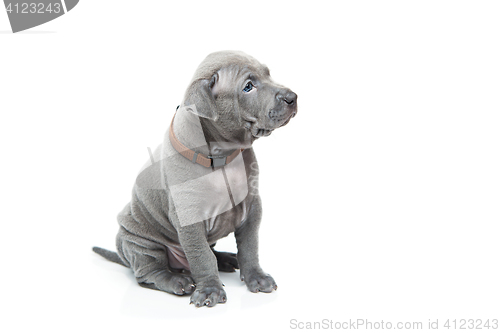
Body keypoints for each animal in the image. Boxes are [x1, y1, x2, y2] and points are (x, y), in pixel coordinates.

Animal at [93, 50, 296, 308]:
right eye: (248, 87)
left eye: (269, 74)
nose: (293, 97)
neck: (222, 157)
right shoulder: (189, 217)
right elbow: (201, 255)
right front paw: (209, 290)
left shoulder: (252, 207)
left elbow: (250, 247)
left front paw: (256, 277)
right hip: (140, 242)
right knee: (149, 273)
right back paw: (176, 280)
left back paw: (225, 259)